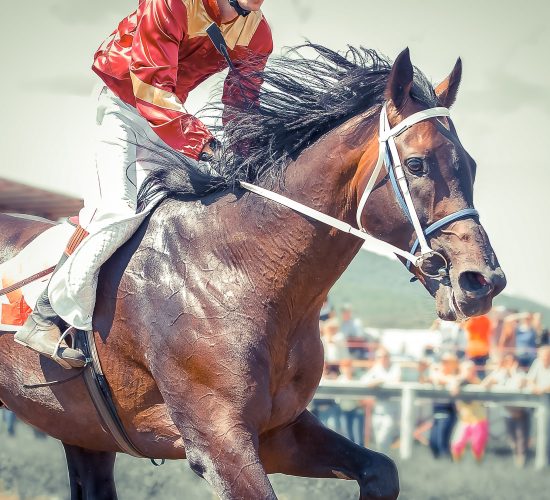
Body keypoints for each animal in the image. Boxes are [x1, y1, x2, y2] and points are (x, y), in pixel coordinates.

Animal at [0, 44, 508, 500]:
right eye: (417, 164)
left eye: (471, 165)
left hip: (82, 429)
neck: (237, 271)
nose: (482, 281)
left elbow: (382, 471)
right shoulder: (218, 442)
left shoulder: (279, 432)